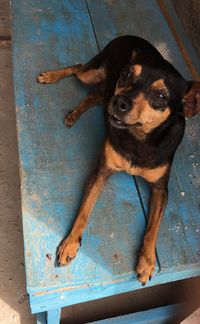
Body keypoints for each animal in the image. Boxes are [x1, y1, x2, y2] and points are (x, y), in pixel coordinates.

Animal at [37, 34, 200, 284]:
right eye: (127, 75)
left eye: (160, 96)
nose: (119, 101)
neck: (138, 139)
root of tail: (128, 35)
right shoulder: (101, 172)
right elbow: (84, 211)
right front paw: (71, 243)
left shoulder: (161, 189)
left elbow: (153, 229)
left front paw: (147, 262)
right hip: (93, 74)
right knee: (78, 69)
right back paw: (51, 77)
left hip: (103, 88)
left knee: (96, 95)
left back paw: (75, 113)